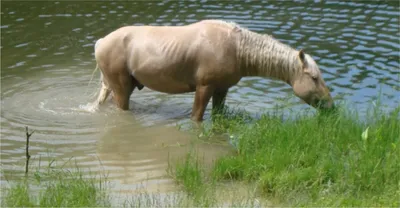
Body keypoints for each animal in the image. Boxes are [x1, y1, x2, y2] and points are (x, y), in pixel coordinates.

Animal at [92, 19, 332, 122]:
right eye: (314, 77)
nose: (331, 106)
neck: (236, 48)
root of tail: (101, 41)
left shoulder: (221, 89)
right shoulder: (204, 87)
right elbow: (196, 117)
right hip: (121, 88)